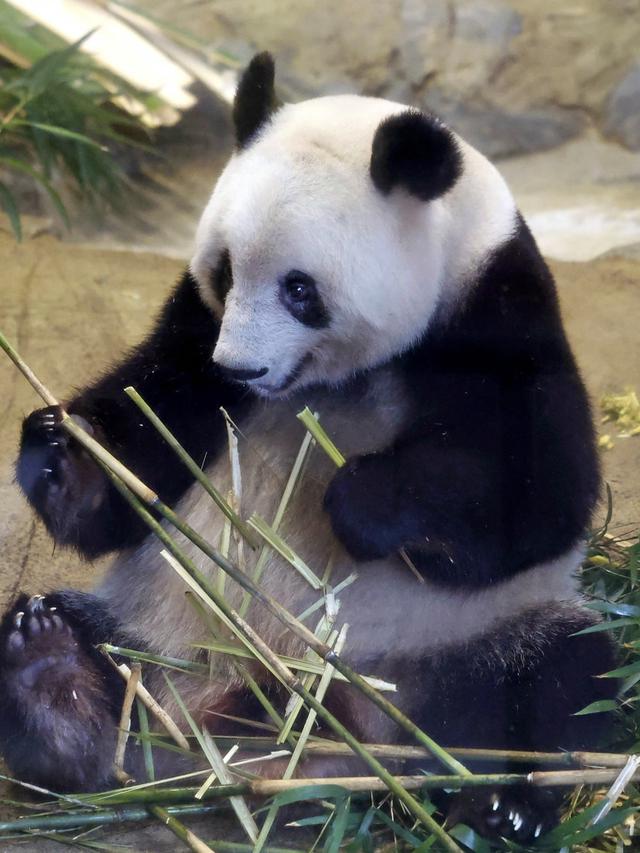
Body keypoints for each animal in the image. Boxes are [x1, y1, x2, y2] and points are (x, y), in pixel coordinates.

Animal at [0, 53, 616, 842]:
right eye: (226, 271)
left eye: (301, 290)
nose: (238, 368)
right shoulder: (193, 329)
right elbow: (149, 437)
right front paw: (63, 455)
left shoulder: (497, 312)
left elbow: (542, 494)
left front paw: (366, 500)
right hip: (163, 642)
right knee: (95, 657)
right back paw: (55, 687)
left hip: (461, 640)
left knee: (558, 679)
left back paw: (503, 804)